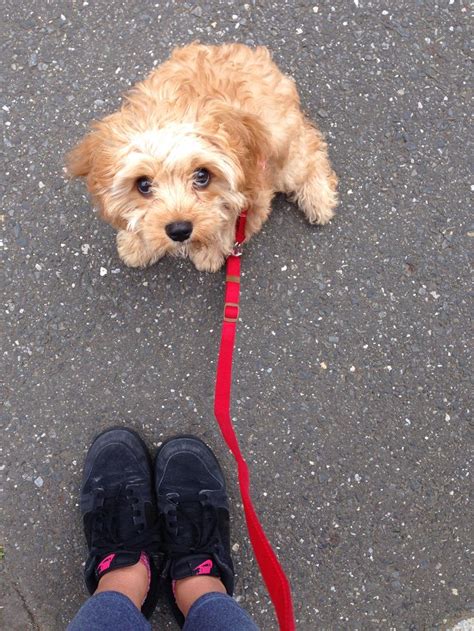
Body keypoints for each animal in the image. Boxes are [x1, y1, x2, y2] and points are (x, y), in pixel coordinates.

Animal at [67, 43, 336, 272]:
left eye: (202, 176)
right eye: (143, 184)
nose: (179, 230)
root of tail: (256, 55)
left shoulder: (254, 194)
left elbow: (228, 228)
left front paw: (209, 252)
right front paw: (138, 244)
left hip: (283, 150)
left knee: (311, 149)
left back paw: (319, 199)